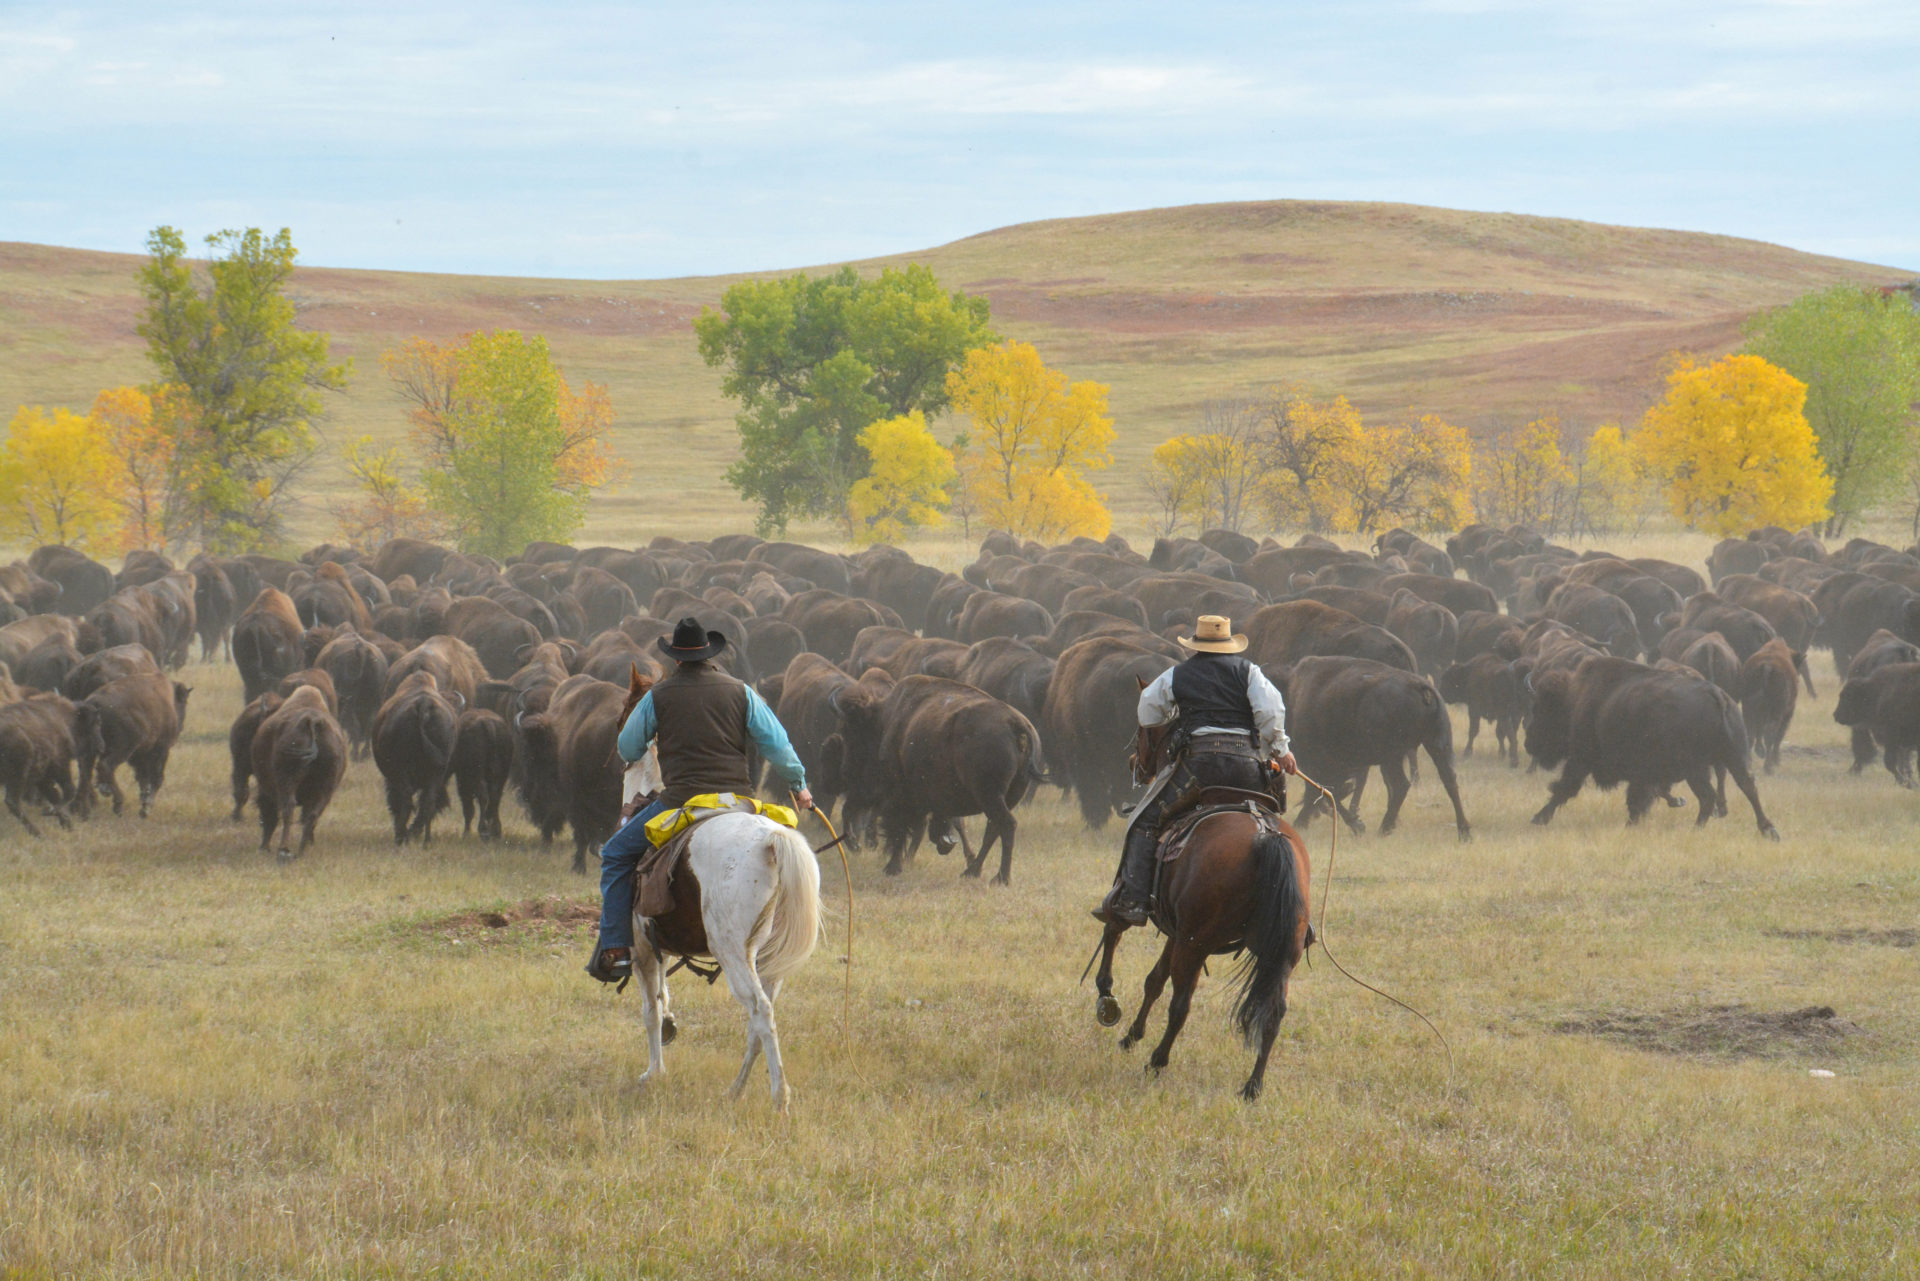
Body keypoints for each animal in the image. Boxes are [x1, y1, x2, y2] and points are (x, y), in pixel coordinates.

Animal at [622, 760, 817, 1113]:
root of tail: (770, 839)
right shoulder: (660, 949)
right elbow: (663, 997)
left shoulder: (642, 950)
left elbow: (651, 1010)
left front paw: (654, 1072)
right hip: (768, 962)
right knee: (759, 1021)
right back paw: (736, 1089)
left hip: (732, 953)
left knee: (760, 1010)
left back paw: (779, 1097)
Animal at [1090, 710, 1313, 1106]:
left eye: (1142, 734)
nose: (1134, 763)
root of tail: (1264, 835)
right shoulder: (1176, 932)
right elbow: (1153, 980)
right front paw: (1131, 1034)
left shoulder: (1174, 931)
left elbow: (1116, 932)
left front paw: (1107, 998)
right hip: (1280, 954)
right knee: (1273, 1014)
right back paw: (1252, 1086)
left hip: (1196, 945)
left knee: (1182, 1004)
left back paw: (1157, 1062)